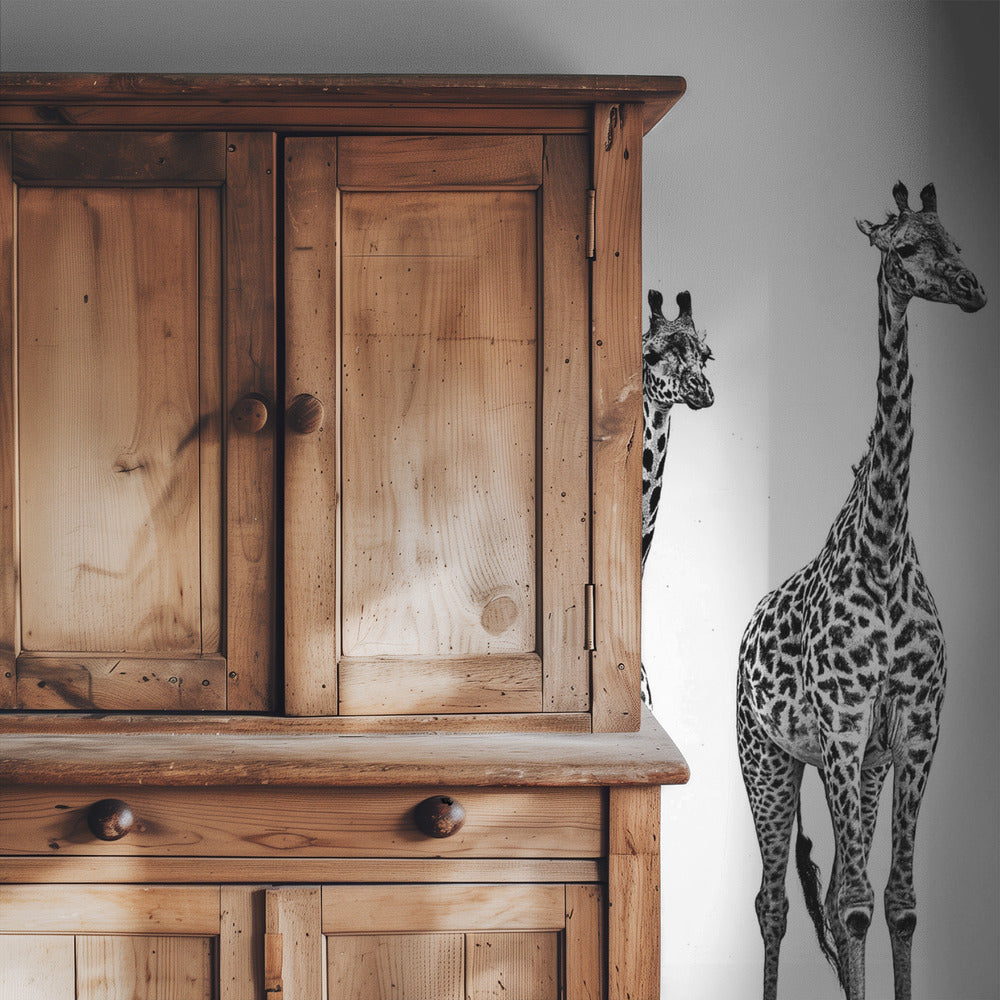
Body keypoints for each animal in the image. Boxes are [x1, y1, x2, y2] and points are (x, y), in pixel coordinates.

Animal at [737, 181, 986, 1000]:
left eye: (958, 240)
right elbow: (850, 903)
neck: (882, 551)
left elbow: (898, 903)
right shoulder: (845, 725)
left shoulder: (913, 730)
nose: (972, 289)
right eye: (905, 248)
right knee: (776, 901)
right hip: (767, 758)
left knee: (839, 892)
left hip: (853, 767)